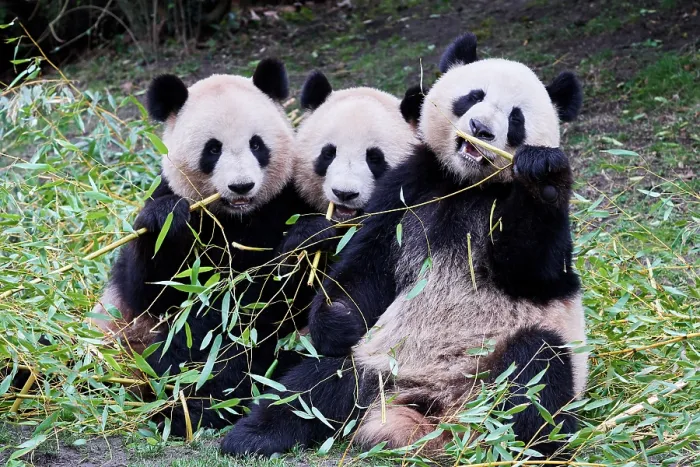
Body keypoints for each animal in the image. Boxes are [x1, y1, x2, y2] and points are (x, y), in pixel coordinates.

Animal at [90, 59, 315, 436]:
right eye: (213, 149)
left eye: (257, 145)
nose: (242, 186)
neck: (237, 219)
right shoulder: (174, 200)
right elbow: (150, 291)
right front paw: (166, 220)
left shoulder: (286, 201)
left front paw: (305, 242)